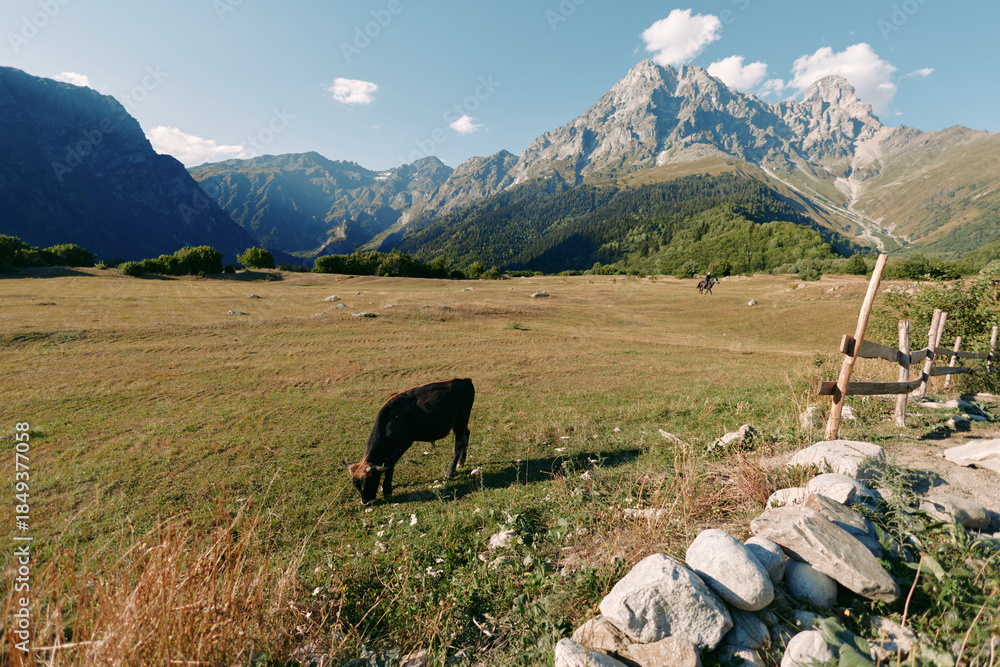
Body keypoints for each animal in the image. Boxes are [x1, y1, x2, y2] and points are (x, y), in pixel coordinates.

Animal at [344, 378, 475, 505]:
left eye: (368, 482)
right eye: (356, 485)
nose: (366, 502)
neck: (391, 418)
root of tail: (464, 380)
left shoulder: (404, 442)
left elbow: (389, 463)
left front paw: (387, 490)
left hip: (461, 421)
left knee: (458, 444)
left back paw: (451, 471)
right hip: (460, 424)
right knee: (466, 434)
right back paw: (462, 461)